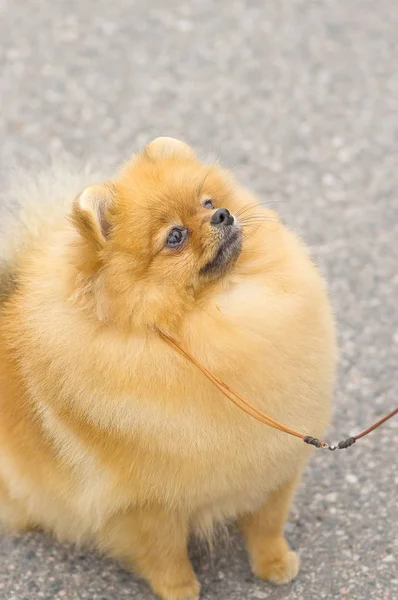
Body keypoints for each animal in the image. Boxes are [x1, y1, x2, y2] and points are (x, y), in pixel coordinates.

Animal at [0, 138, 336, 596]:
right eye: (175, 237)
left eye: (208, 201)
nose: (223, 214)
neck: (213, 317)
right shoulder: (148, 505)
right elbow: (165, 553)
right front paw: (181, 589)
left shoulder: (273, 469)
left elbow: (267, 524)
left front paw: (274, 563)